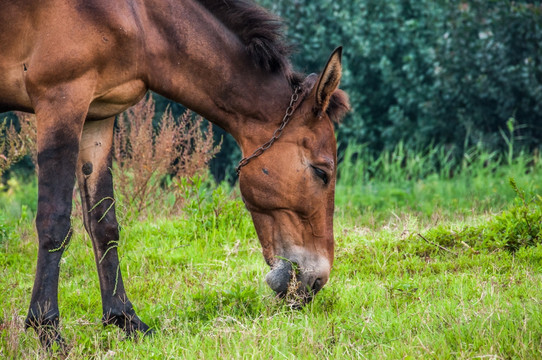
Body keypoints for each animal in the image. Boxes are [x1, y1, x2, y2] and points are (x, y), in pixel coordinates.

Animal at [0, 0, 350, 348]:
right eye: (321, 172)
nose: (316, 280)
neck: (136, 19)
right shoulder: (61, 100)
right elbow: (54, 222)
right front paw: (48, 328)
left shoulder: (97, 116)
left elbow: (103, 224)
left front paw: (126, 320)